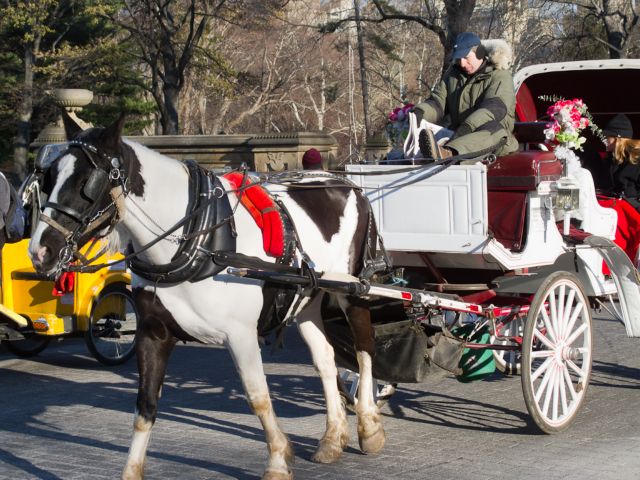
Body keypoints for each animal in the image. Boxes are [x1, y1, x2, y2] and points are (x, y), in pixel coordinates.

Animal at [28, 113, 384, 480]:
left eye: (88, 182)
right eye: (49, 176)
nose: (40, 251)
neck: (196, 238)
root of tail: (344, 182)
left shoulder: (241, 335)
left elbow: (258, 396)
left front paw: (278, 459)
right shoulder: (153, 334)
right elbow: (145, 406)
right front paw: (132, 470)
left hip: (353, 290)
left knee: (363, 349)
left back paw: (369, 426)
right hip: (307, 297)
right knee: (325, 359)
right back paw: (332, 437)